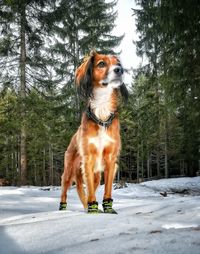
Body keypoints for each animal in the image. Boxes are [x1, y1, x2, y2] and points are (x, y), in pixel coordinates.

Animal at [59, 50, 128, 213]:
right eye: (101, 64)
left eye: (118, 63)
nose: (120, 70)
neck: (102, 111)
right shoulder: (88, 160)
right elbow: (89, 189)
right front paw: (93, 209)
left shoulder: (110, 160)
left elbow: (107, 189)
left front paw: (108, 209)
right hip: (68, 172)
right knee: (65, 191)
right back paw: (64, 208)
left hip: (96, 175)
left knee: (83, 189)